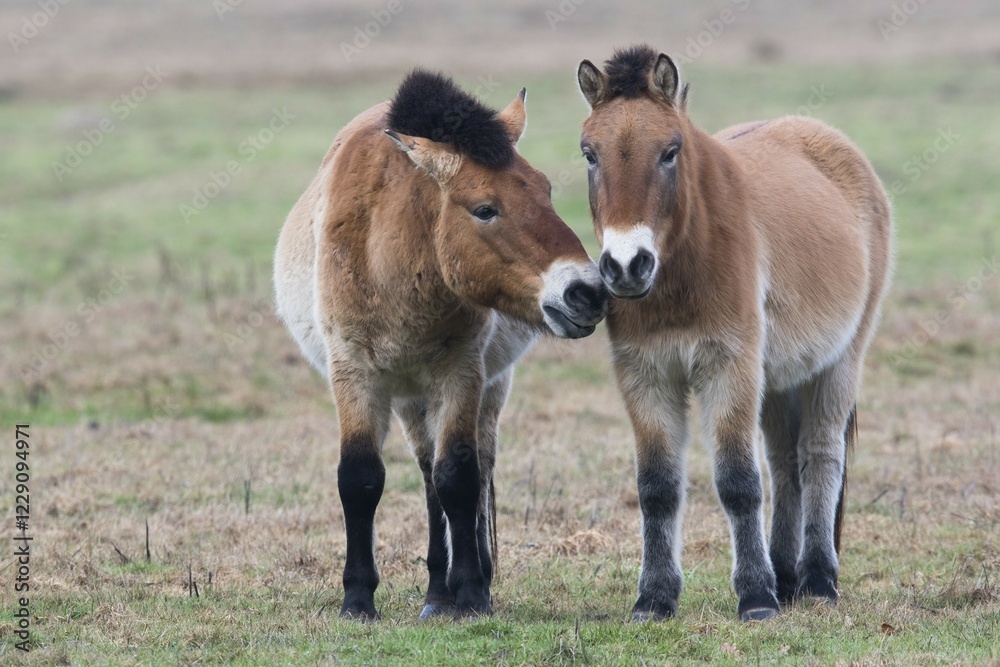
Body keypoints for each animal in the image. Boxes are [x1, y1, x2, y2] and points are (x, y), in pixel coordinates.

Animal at [273, 70, 607, 620]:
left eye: (545, 189)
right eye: (485, 209)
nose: (587, 292)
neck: (391, 257)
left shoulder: (462, 375)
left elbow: (460, 477)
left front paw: (471, 593)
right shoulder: (354, 375)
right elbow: (361, 478)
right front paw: (358, 599)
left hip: (484, 390)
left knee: (468, 470)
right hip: (410, 397)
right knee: (427, 474)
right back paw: (435, 592)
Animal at [575, 45, 892, 622]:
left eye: (670, 151)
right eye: (590, 153)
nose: (627, 266)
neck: (683, 268)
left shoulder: (729, 368)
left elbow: (739, 482)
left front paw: (756, 598)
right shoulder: (646, 375)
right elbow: (657, 487)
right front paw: (654, 598)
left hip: (838, 363)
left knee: (819, 456)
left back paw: (817, 579)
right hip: (781, 379)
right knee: (786, 466)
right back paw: (787, 575)